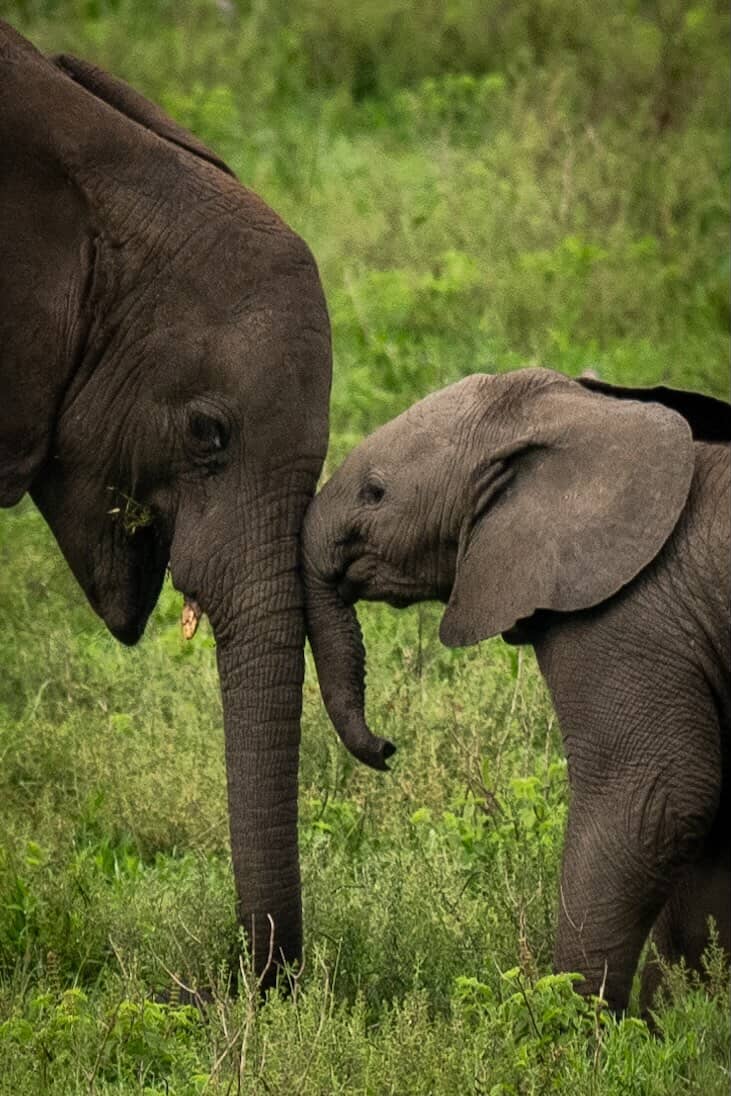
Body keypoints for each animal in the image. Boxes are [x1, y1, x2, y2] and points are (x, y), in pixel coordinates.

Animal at [302, 366, 730, 1013]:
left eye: (375, 493)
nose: (386, 749)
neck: (583, 413)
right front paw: (681, 1019)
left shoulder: (630, 615)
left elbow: (655, 798)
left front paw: (577, 1023)